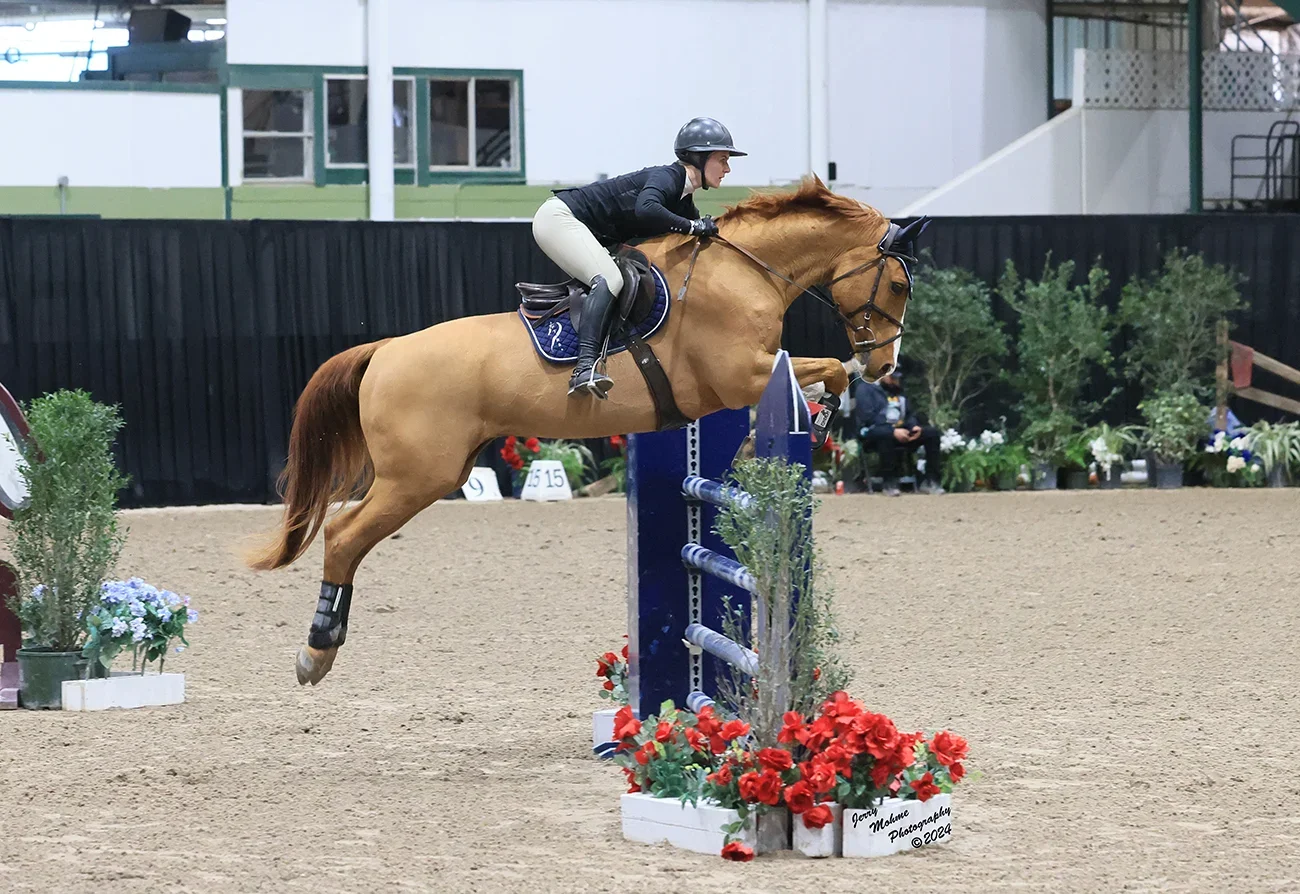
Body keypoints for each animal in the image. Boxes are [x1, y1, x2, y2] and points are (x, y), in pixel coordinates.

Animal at [244, 175, 927, 686]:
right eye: (896, 283)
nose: (884, 365)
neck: (745, 273)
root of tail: (384, 351)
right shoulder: (741, 375)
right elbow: (825, 371)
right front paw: (809, 422)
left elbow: (819, 378)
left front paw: (780, 436)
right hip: (417, 477)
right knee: (343, 534)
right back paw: (316, 651)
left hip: (439, 470)